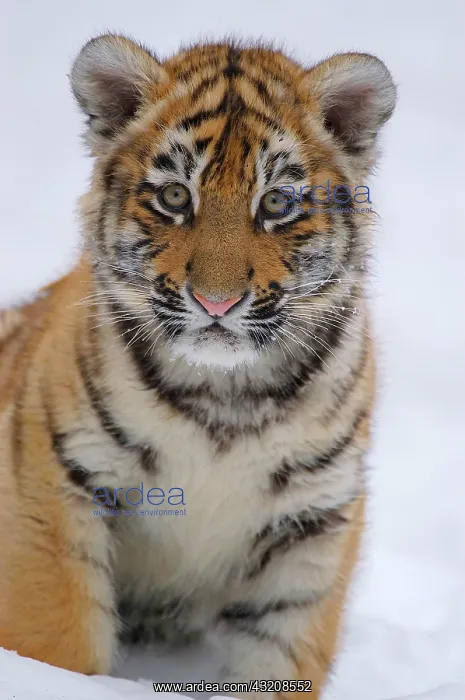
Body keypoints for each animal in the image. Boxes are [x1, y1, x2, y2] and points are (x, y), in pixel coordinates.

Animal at [0, 34, 396, 698]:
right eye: (175, 197)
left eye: (277, 202)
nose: (216, 302)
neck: (224, 399)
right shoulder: (53, 483)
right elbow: (60, 639)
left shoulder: (311, 524)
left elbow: (279, 660)